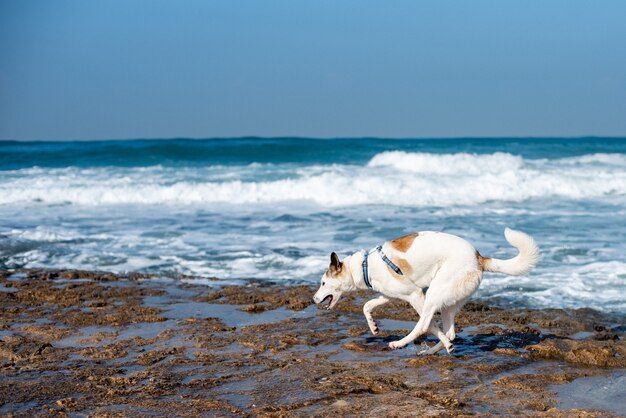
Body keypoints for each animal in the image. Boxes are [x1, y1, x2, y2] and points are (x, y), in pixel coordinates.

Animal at [312, 227, 536, 354]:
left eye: (322, 283)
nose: (313, 299)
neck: (365, 266)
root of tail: (478, 257)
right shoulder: (388, 295)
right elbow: (367, 306)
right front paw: (374, 327)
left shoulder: (415, 295)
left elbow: (430, 326)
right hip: (447, 301)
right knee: (451, 332)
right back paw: (433, 351)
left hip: (434, 293)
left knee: (424, 325)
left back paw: (400, 344)